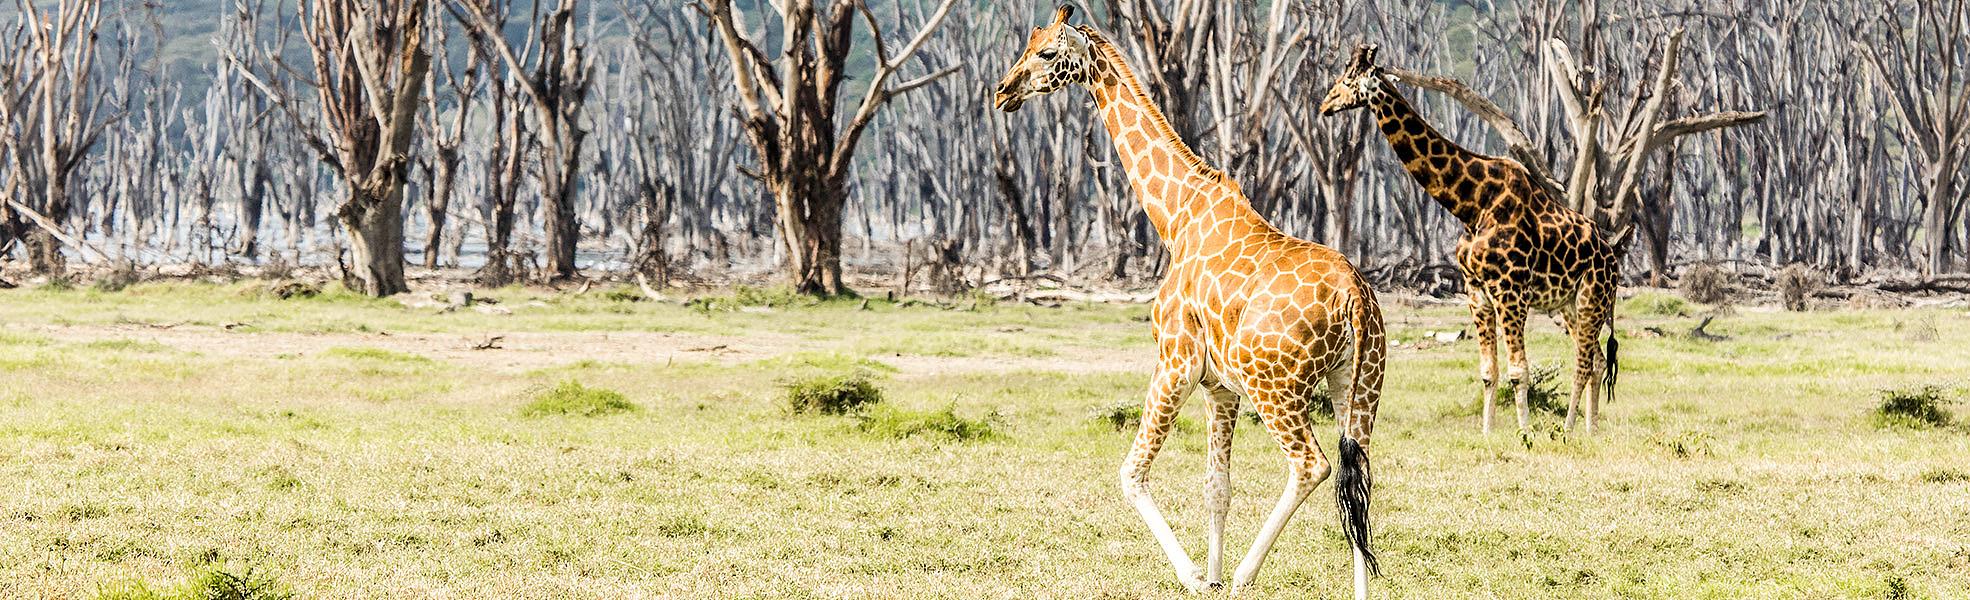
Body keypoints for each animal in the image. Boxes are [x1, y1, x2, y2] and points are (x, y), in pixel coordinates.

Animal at [992, 8, 1394, 594]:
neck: (1176, 214)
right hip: (1358, 385)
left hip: (1277, 388)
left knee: (1313, 465)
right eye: (1028, 44)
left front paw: (1199, 577)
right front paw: (1212, 574)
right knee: (1358, 478)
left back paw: (1247, 574)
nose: (1003, 91)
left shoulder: (1175, 361)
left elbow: (1131, 473)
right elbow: (1216, 489)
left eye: (1047, 53)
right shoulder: (1219, 387)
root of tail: (1355, 302)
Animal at [1315, 44, 1623, 432]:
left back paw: (1568, 429)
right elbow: (1489, 372)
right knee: (1596, 360)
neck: (1472, 205)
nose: (1324, 105)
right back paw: (1590, 429)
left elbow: (1519, 371)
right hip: (1569, 303)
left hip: (1591, 297)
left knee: (1584, 362)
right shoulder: (1476, 291)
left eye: (1347, 81)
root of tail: (1612, 258)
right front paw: (1488, 433)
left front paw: (1525, 433)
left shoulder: (1510, 291)